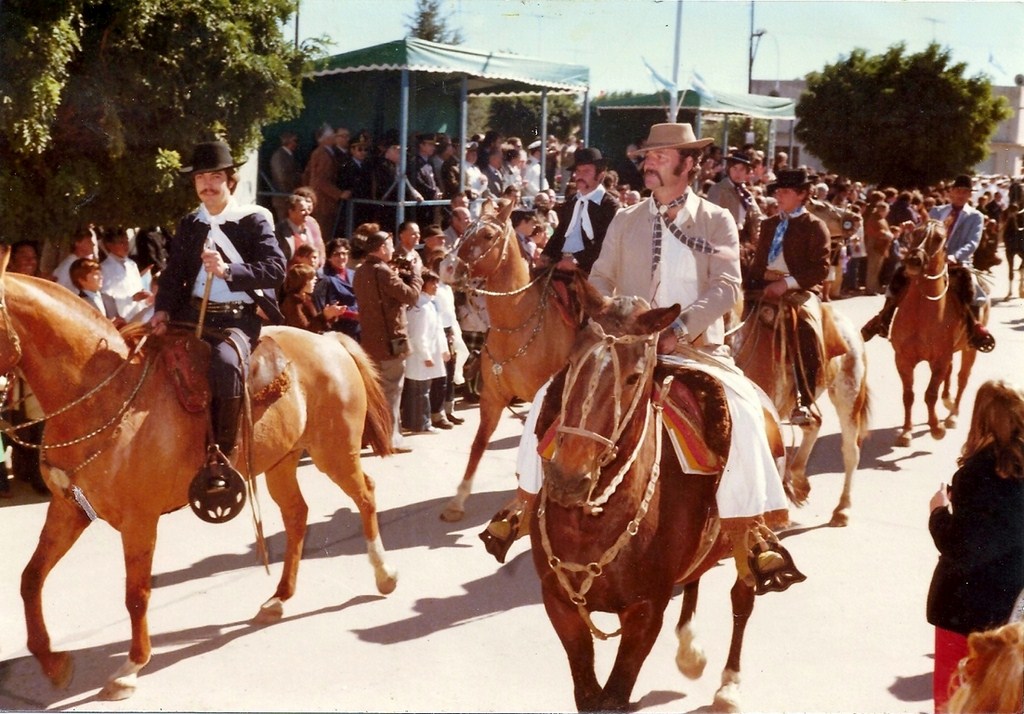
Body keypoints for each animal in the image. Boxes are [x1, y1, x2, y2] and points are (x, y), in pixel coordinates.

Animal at [1, 259, 395, 700]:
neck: (101, 395)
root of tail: (329, 341)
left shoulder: (139, 521)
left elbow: (136, 593)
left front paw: (131, 667)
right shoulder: (69, 508)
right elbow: (30, 578)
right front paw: (53, 663)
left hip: (335, 452)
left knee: (366, 496)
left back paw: (384, 575)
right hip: (282, 462)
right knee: (297, 515)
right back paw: (279, 599)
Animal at [436, 197, 581, 520]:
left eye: (488, 235)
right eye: (465, 229)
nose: (447, 267)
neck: (517, 323)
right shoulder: (492, 397)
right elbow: (479, 443)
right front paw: (457, 500)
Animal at [532, 282, 765, 708]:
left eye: (633, 377)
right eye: (571, 362)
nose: (568, 478)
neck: (590, 521)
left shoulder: (645, 612)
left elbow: (614, 697)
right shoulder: (558, 604)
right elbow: (586, 694)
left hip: (745, 533)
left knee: (743, 596)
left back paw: (728, 684)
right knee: (696, 578)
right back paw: (690, 649)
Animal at [888, 220, 983, 446]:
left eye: (939, 238)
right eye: (914, 233)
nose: (913, 260)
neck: (921, 313)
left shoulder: (940, 358)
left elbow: (930, 393)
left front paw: (936, 428)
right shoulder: (903, 359)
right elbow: (908, 395)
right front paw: (906, 431)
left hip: (969, 350)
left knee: (962, 378)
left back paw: (952, 415)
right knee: (950, 374)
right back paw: (947, 401)